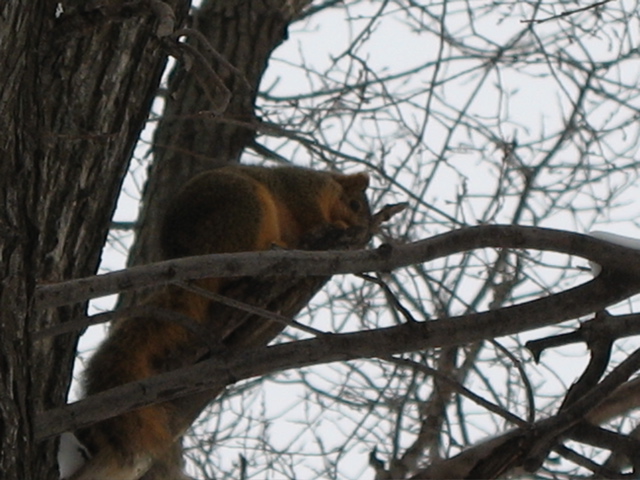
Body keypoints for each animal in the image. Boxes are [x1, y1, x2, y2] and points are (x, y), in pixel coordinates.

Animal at [69, 165, 371, 480]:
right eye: (355, 204)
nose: (362, 230)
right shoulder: (303, 188)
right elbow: (310, 210)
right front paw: (336, 224)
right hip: (243, 207)